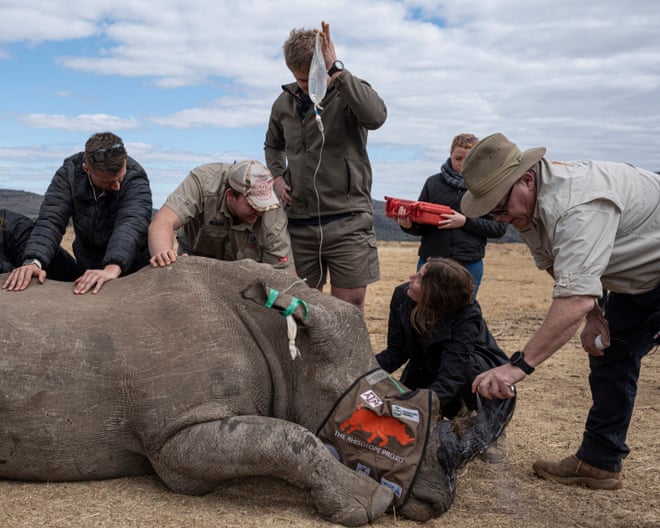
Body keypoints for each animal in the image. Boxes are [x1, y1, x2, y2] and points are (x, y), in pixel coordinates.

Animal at [0, 257, 513, 526]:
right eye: (381, 413)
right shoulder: (173, 439)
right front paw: (369, 503)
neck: (283, 347)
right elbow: (289, 439)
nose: (438, 503)